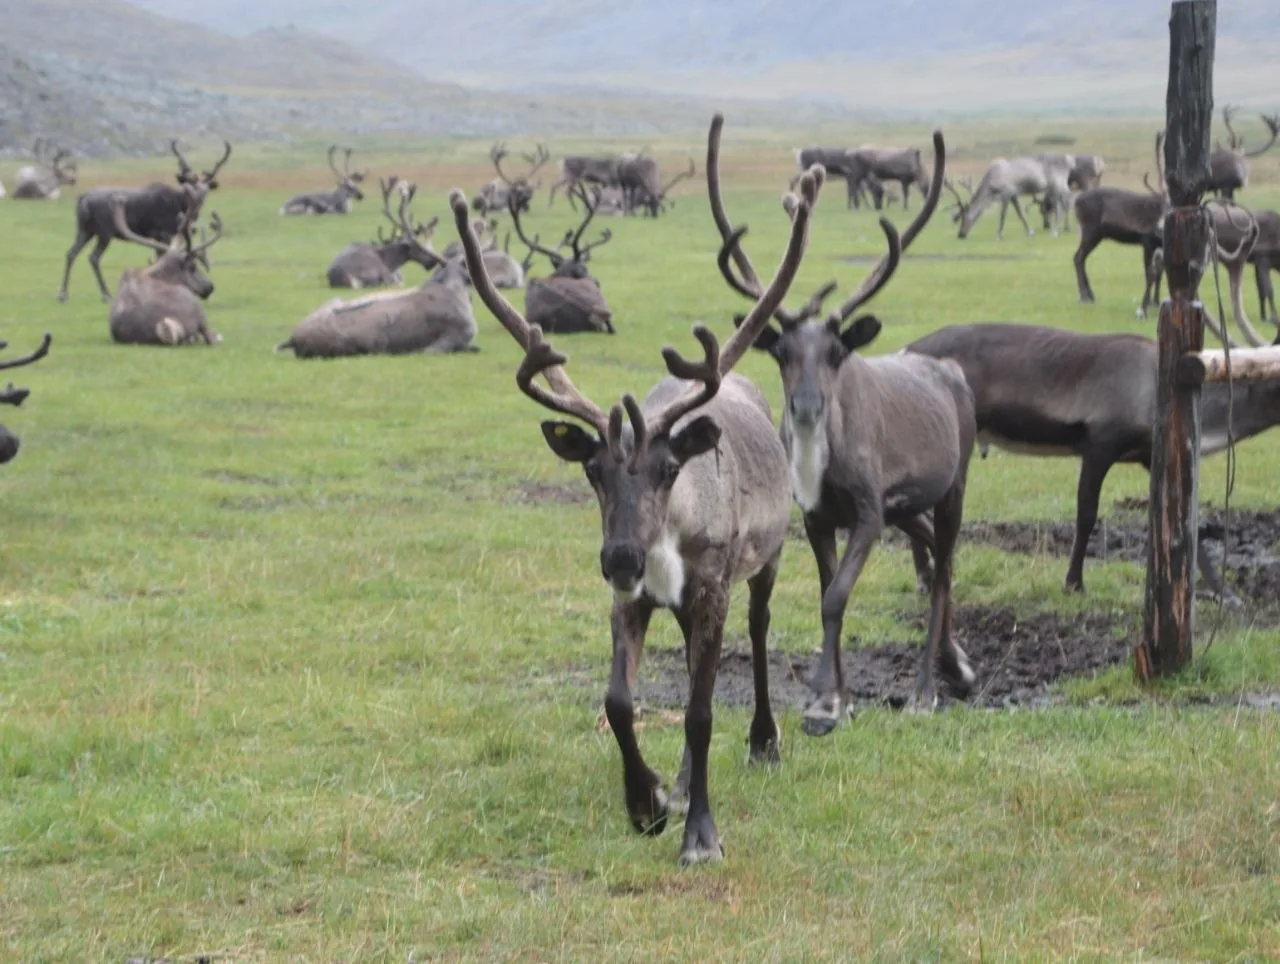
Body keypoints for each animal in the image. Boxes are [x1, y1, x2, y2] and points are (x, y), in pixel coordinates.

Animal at [59, 140, 231, 303]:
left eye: (207, 185)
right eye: (188, 183)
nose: (198, 195)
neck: (180, 203)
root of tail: (83, 198)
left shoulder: (158, 235)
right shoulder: (164, 232)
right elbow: (162, 257)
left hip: (85, 229)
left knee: (71, 253)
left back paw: (63, 294)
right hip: (104, 232)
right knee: (94, 257)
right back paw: (105, 294)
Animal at [711, 118, 979, 732]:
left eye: (837, 352)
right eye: (781, 351)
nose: (807, 408)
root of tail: (952, 372)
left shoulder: (867, 512)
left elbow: (836, 596)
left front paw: (827, 702)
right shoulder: (817, 518)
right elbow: (826, 593)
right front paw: (840, 694)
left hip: (952, 485)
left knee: (943, 569)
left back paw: (927, 689)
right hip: (904, 506)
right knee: (932, 550)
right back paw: (957, 665)